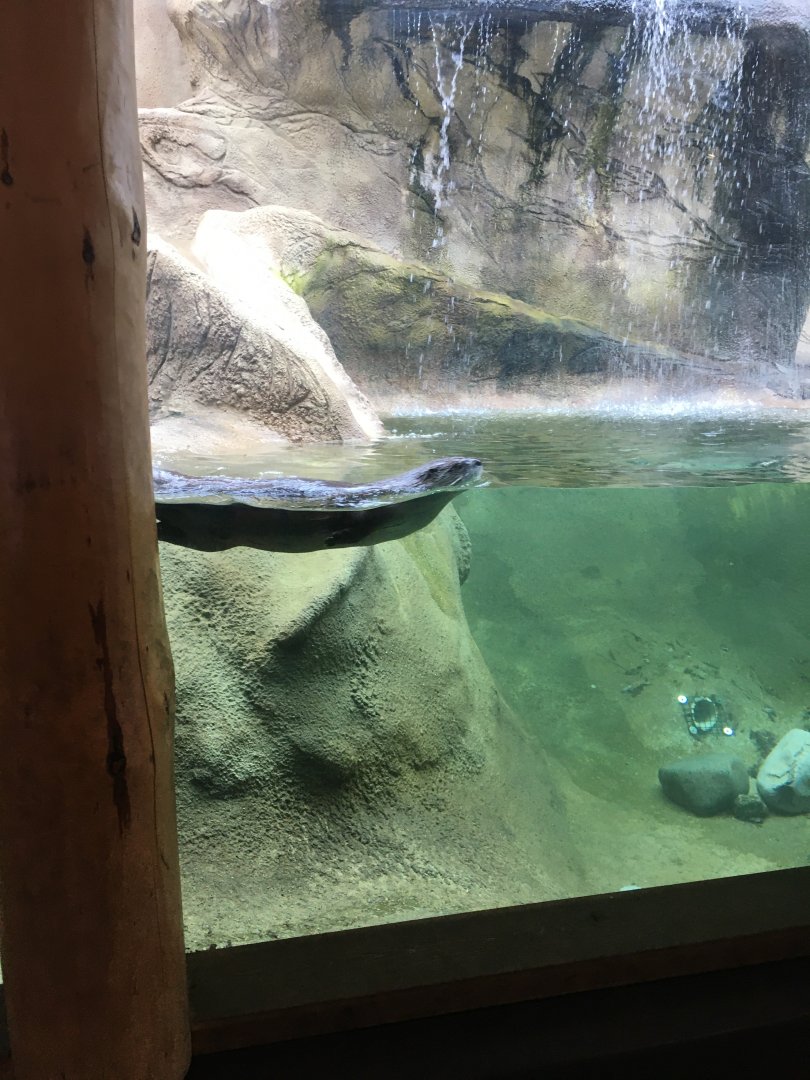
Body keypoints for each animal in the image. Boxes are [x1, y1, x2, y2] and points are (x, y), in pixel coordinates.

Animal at [154, 456, 483, 554]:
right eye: (458, 463)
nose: (478, 461)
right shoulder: (366, 511)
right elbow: (353, 525)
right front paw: (335, 538)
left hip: (210, 537)